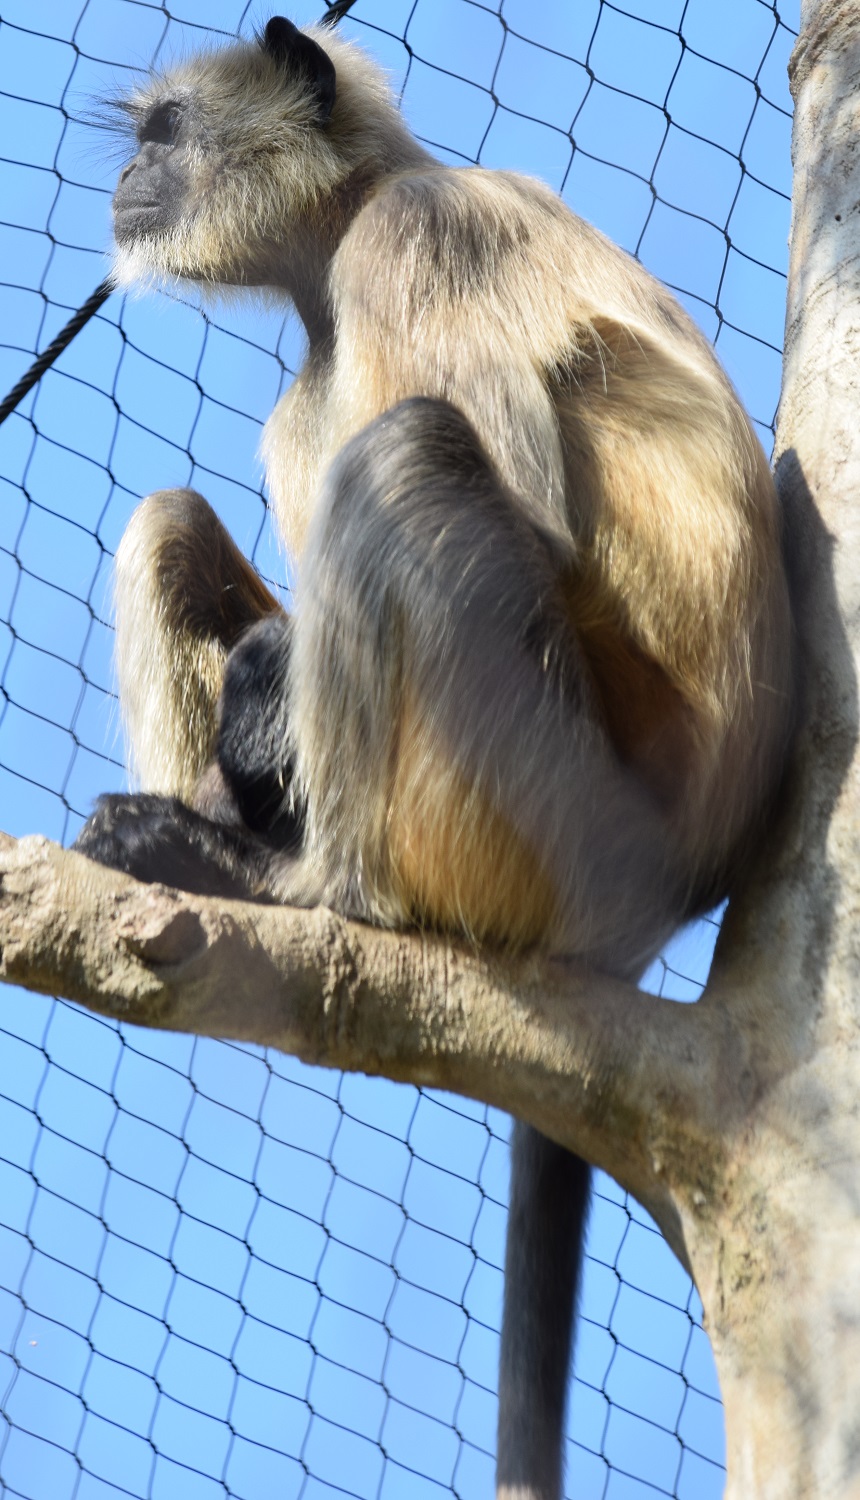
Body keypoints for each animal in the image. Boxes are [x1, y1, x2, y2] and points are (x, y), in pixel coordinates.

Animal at [77, 20, 792, 1500]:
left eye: (164, 132)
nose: (125, 179)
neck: (337, 247)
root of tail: (654, 909)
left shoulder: (413, 240)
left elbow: (536, 519)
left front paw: (264, 725)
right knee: (178, 518)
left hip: (545, 804)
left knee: (410, 452)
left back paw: (306, 893)